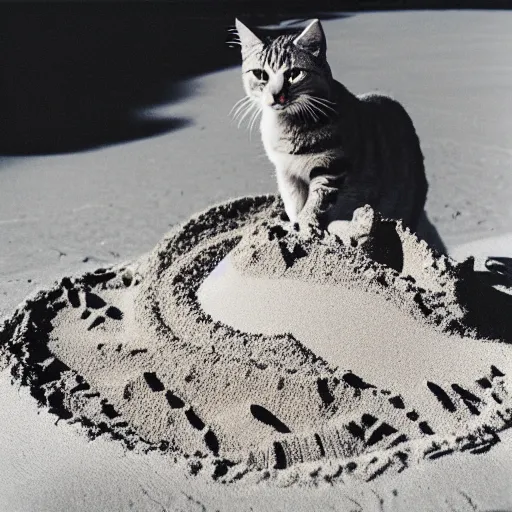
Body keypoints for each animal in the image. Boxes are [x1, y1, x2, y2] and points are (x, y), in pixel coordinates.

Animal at [234, 18, 426, 237]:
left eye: (293, 74)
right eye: (260, 74)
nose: (276, 95)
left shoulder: (330, 169)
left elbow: (314, 204)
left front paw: (305, 225)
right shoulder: (287, 174)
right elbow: (294, 204)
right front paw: (294, 224)